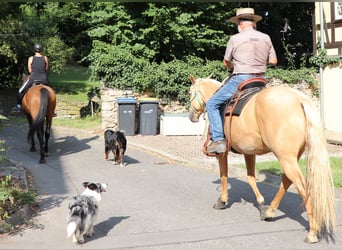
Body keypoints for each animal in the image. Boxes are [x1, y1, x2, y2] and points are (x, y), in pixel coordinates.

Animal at [190, 74, 336, 242]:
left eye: (189, 93)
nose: (191, 116)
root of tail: (299, 99)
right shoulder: (249, 152)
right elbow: (251, 178)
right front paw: (260, 203)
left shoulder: (222, 153)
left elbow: (224, 176)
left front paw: (222, 200)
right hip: (292, 157)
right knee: (286, 180)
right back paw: (269, 212)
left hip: (286, 158)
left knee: (302, 186)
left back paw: (312, 232)